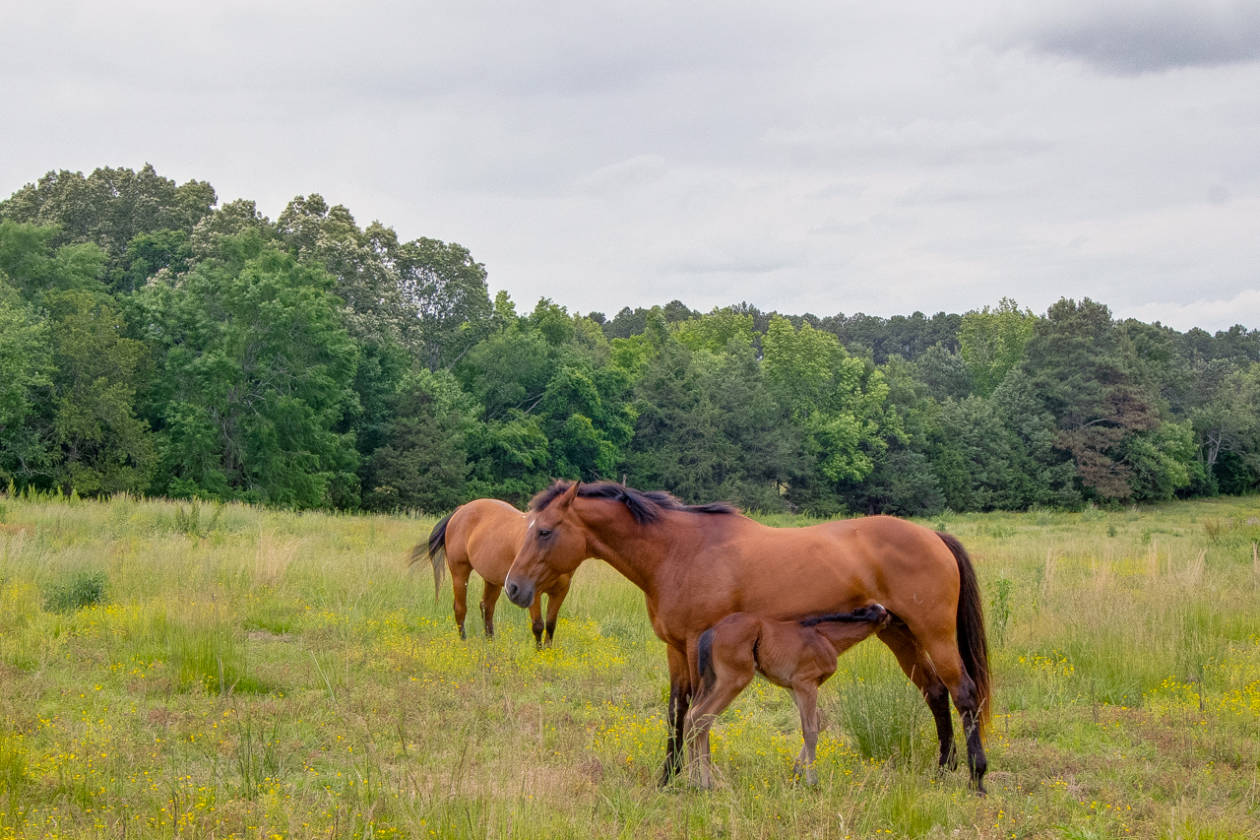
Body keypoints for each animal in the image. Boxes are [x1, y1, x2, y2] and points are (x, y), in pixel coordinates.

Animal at [411, 498, 572, 646]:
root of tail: (460, 510)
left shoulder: (560, 592)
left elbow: (551, 625)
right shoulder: (532, 591)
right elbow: (538, 625)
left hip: (492, 579)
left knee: (486, 607)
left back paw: (491, 644)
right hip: (459, 572)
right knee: (460, 608)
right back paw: (464, 642)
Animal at [688, 603, 891, 786]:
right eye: (887, 615)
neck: (824, 637)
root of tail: (710, 633)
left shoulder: (794, 687)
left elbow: (819, 720)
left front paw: (796, 772)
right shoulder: (806, 684)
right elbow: (810, 730)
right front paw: (812, 781)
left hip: (710, 684)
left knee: (693, 717)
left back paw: (695, 781)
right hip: (732, 682)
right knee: (700, 717)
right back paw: (702, 783)